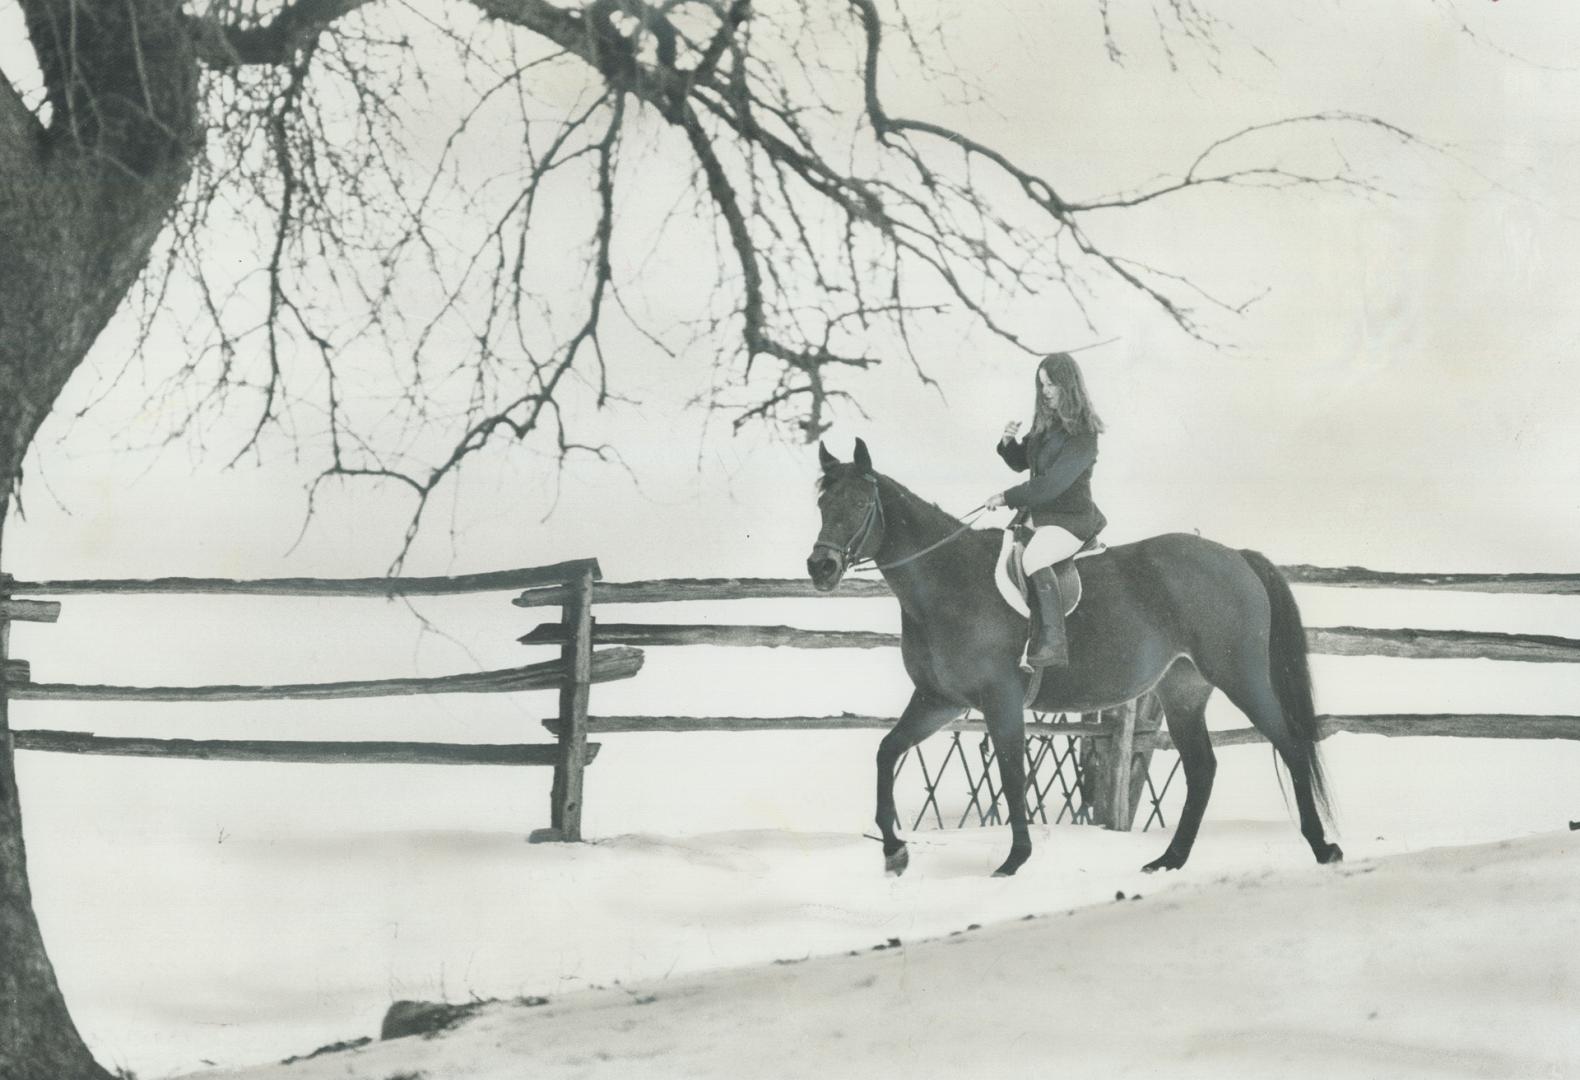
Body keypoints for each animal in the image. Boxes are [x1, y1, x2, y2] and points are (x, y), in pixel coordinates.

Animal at [808, 438, 1339, 877]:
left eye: (860, 503)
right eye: (821, 503)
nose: (821, 567)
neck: (948, 582)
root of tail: (1235, 556)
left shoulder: (1000, 700)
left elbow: (1012, 775)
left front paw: (1014, 860)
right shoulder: (939, 700)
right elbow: (886, 752)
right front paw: (894, 852)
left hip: (1241, 676)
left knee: (1290, 745)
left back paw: (1321, 847)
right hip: (1183, 689)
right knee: (1202, 769)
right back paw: (1169, 859)